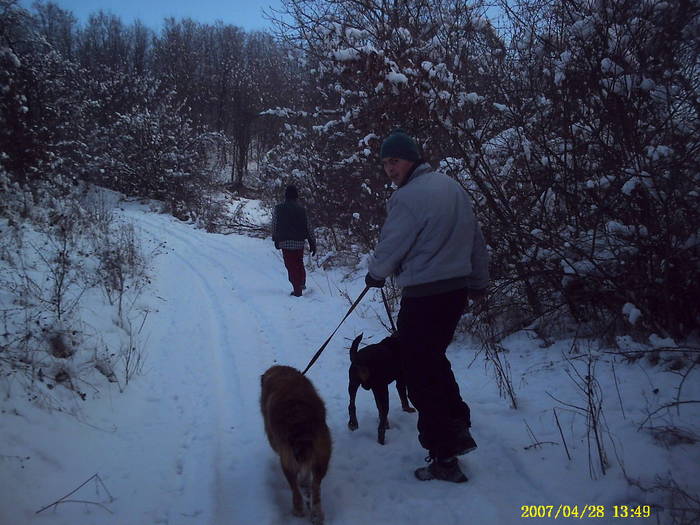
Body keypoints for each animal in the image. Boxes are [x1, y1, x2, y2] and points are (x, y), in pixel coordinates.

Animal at [262, 364, 332, 524]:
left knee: (294, 486)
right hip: (322, 453)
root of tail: (301, 425)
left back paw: (298, 510)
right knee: (316, 486)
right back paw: (317, 514)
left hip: (287, 459)